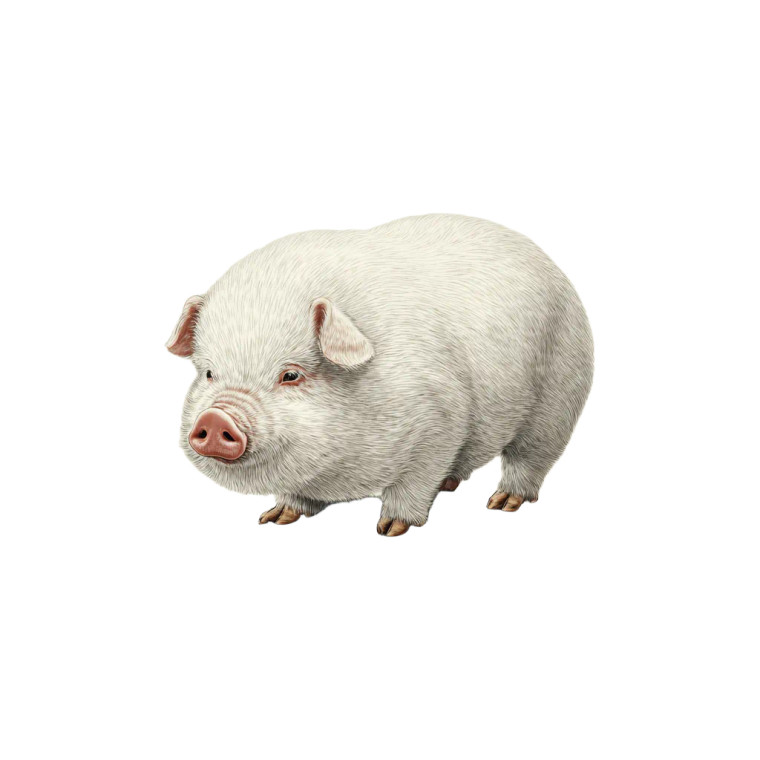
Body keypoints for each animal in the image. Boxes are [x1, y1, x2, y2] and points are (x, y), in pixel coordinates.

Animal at [166, 214, 593, 537]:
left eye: (290, 375)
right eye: (209, 372)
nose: (216, 418)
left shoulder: (440, 419)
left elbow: (414, 482)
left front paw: (389, 529)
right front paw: (275, 518)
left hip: (560, 393)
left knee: (532, 457)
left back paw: (501, 504)